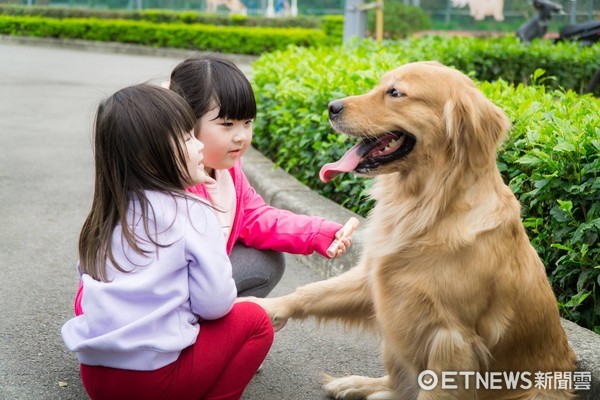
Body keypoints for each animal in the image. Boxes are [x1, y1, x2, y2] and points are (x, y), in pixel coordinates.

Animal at [246, 61, 576, 398]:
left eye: (395, 93)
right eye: (379, 85)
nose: (331, 107)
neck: (427, 205)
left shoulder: (452, 338)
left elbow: (436, 389)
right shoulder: (375, 278)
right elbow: (313, 291)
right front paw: (264, 306)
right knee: (396, 384)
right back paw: (355, 383)